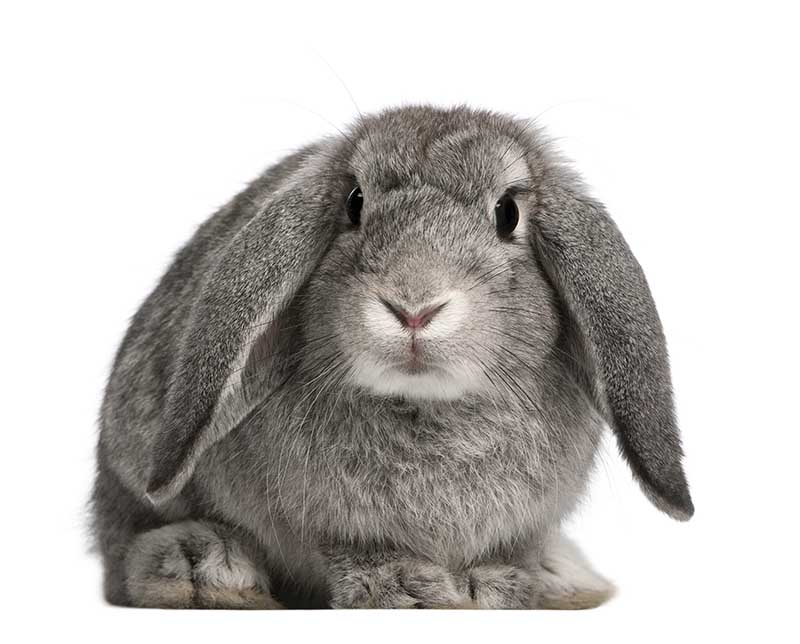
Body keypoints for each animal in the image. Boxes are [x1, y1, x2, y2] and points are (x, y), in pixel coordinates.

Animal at [91, 104, 693, 609]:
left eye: (508, 213)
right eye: (355, 204)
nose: (414, 306)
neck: (428, 405)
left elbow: (507, 554)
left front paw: (493, 586)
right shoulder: (334, 525)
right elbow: (357, 551)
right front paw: (407, 589)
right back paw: (204, 571)